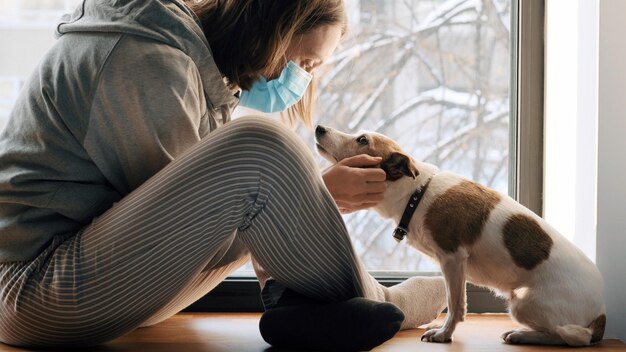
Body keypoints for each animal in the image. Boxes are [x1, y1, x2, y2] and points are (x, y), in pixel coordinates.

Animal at [314, 125, 604, 346]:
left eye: (362, 139)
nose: (319, 128)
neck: (416, 194)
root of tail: (601, 312)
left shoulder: (453, 259)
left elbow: (455, 305)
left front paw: (444, 334)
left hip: (523, 303)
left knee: (573, 337)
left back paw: (524, 335)